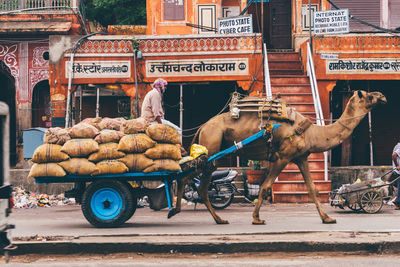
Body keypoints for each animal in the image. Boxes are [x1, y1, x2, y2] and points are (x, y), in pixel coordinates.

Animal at [168, 91, 384, 225]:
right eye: (368, 95)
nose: (382, 96)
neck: (312, 133)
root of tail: (203, 127)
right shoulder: (282, 157)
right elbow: (265, 187)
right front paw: (256, 218)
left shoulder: (301, 157)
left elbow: (312, 189)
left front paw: (327, 218)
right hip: (212, 147)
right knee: (196, 183)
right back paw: (189, 213)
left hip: (212, 152)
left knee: (194, 180)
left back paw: (199, 215)